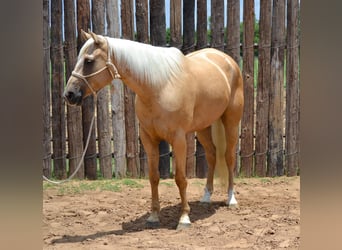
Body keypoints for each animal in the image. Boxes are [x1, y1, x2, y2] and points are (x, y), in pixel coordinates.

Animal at [62, 30, 243, 229]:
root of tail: (227, 60)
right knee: (212, 155)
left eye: (89, 61)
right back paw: (206, 196)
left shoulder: (179, 140)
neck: (160, 87)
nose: (69, 94)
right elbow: (154, 177)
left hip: (231, 122)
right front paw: (154, 216)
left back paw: (231, 199)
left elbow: (180, 178)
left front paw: (184, 218)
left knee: (229, 157)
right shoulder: (148, 139)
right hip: (204, 126)